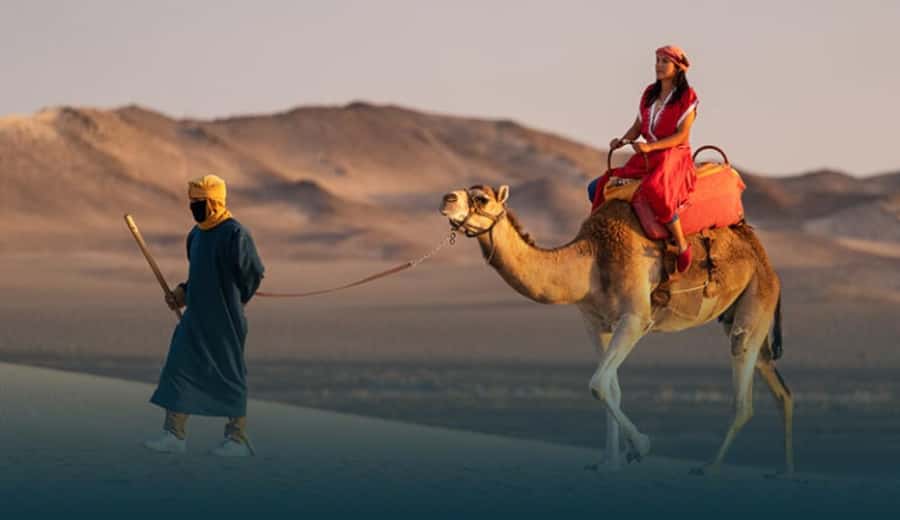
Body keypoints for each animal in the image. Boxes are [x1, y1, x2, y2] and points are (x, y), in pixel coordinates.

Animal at [439, 184, 792, 476]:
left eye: (481, 199)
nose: (446, 199)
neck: (592, 261)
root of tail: (767, 264)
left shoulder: (635, 317)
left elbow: (597, 384)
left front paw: (641, 446)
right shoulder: (596, 323)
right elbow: (611, 388)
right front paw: (609, 462)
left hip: (755, 302)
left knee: (743, 396)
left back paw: (710, 467)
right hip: (744, 315)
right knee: (780, 390)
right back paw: (783, 472)